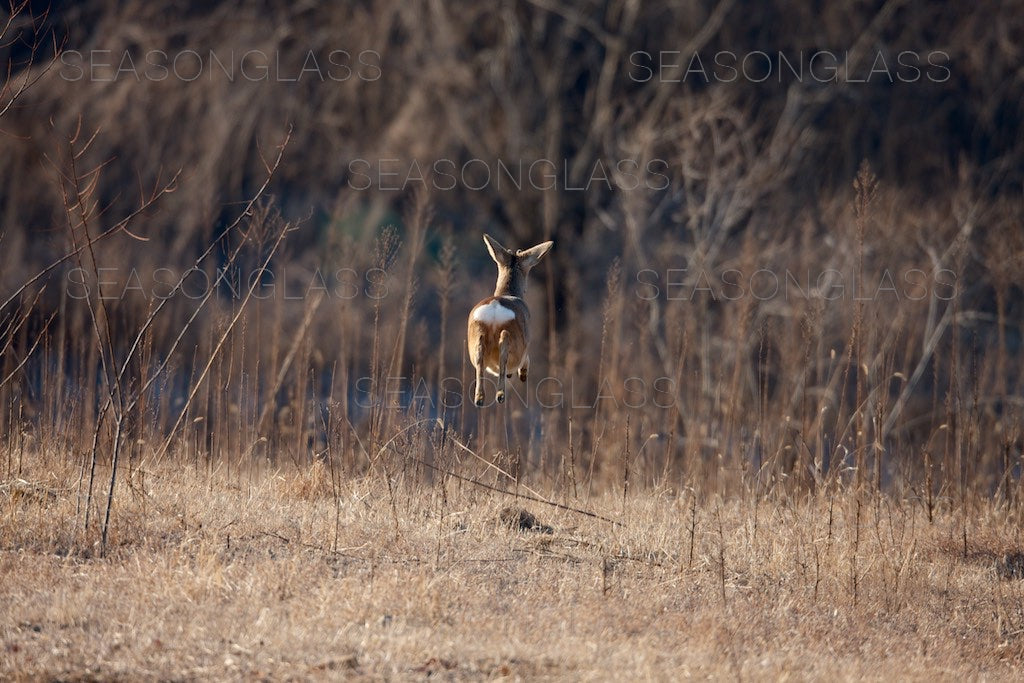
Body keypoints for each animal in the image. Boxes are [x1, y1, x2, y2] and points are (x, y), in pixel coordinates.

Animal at [468, 233, 557, 405]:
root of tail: (495, 309)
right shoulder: (526, 345)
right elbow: (526, 360)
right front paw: (523, 374)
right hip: (516, 341)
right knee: (505, 356)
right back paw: (500, 394)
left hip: (477, 335)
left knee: (480, 361)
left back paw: (480, 398)